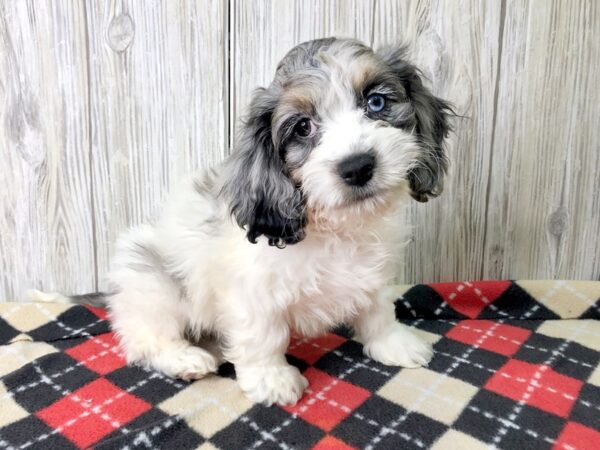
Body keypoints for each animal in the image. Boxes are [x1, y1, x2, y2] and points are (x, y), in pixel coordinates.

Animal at [38, 37, 450, 404]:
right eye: (303, 127)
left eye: (376, 101)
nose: (357, 166)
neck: (334, 227)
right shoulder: (252, 292)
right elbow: (264, 335)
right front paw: (272, 380)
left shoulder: (373, 275)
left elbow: (377, 310)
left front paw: (393, 343)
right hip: (153, 283)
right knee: (144, 339)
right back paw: (184, 357)